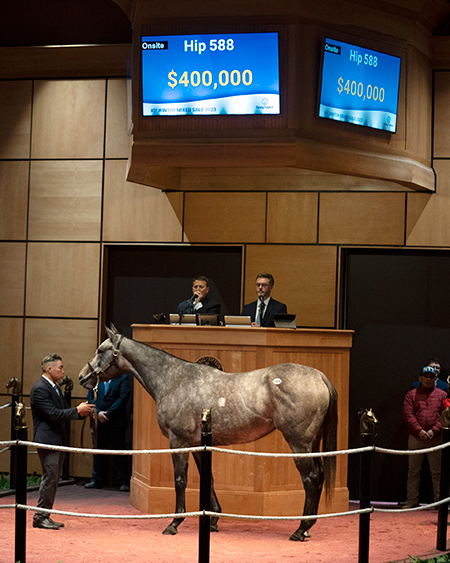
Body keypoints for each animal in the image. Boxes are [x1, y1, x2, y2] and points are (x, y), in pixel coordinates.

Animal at [78, 326, 338, 540]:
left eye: (101, 349)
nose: (82, 376)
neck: (174, 380)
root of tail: (319, 376)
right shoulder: (197, 444)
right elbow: (207, 477)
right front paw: (212, 520)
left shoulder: (179, 441)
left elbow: (180, 480)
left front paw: (174, 523)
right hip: (313, 443)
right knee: (319, 476)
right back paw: (308, 527)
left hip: (299, 443)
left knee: (311, 479)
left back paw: (301, 529)